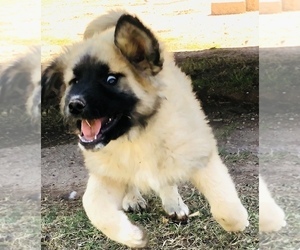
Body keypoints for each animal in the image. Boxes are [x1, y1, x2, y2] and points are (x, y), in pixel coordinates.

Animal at [41, 9, 248, 248]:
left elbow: (225, 203)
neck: (137, 135)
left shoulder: (200, 153)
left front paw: (239, 222)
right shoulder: (106, 173)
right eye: (73, 81)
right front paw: (132, 236)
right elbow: (93, 206)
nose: (73, 105)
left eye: (111, 79)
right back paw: (133, 199)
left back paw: (173, 203)